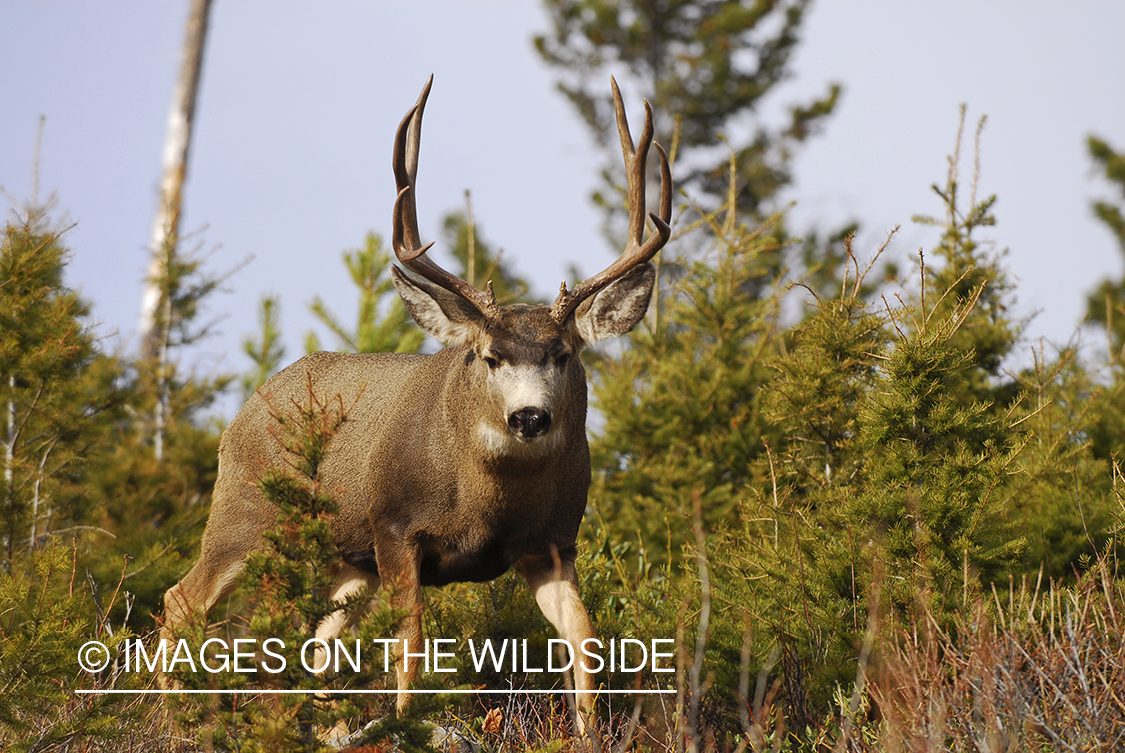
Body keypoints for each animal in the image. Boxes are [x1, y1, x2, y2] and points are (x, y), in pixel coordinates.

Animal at [161, 76, 671, 733]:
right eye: (487, 356)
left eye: (562, 354)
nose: (529, 416)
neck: (489, 501)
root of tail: (247, 406)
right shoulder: (395, 526)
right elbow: (411, 640)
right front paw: (406, 724)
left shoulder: (554, 542)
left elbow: (584, 635)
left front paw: (587, 732)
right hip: (248, 515)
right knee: (183, 600)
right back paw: (174, 718)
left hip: (344, 559)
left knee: (316, 642)